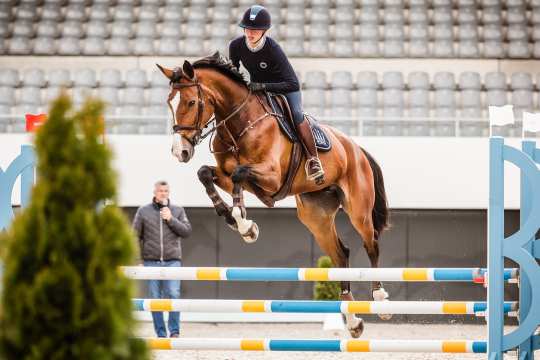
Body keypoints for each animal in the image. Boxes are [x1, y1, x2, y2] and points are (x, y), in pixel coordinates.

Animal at [158, 52, 390, 338]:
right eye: (170, 102)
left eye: (191, 102)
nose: (180, 152)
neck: (239, 123)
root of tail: (356, 148)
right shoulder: (231, 175)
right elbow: (207, 174)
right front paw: (237, 221)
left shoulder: (271, 176)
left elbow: (239, 174)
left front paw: (244, 224)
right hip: (316, 218)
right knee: (341, 254)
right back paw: (353, 320)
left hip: (359, 209)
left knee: (371, 244)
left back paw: (380, 299)